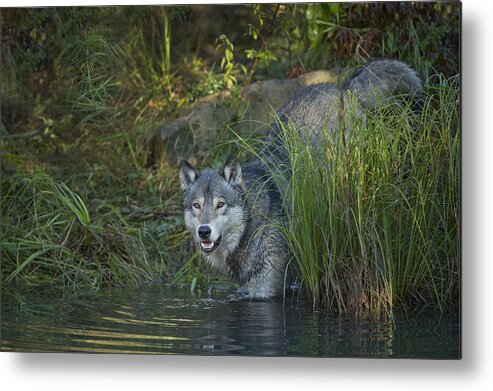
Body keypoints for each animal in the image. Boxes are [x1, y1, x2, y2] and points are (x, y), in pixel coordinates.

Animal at [179, 59, 420, 300]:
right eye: (197, 205)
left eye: (220, 204)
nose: (204, 231)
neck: (252, 224)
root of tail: (344, 87)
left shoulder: (266, 291)